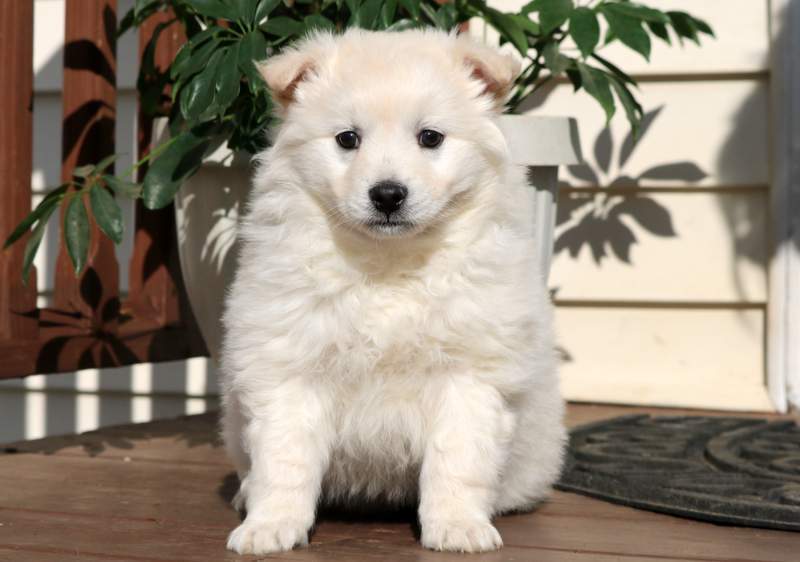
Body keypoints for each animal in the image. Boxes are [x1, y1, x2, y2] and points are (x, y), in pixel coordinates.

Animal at [222, 28, 564, 552]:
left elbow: (457, 459)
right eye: (348, 139)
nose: (387, 195)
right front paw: (269, 525)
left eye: (430, 137)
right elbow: (284, 459)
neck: (389, 263)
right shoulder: (290, 366)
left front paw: (458, 525)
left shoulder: (468, 375)